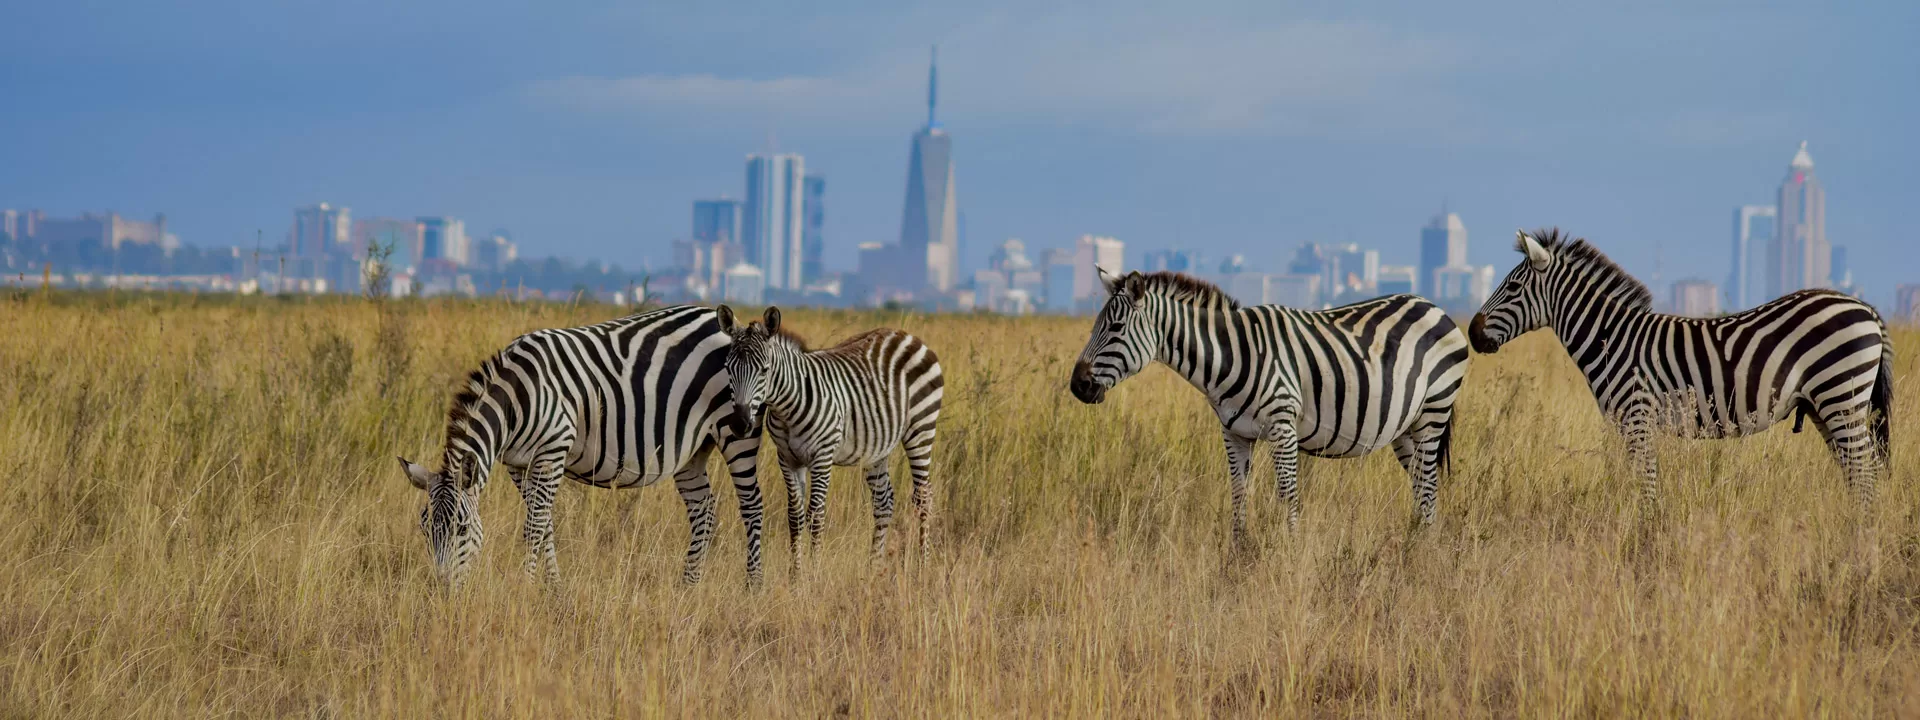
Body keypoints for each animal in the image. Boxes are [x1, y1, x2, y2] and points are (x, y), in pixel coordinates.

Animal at [397, 305, 764, 591]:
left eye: (461, 528)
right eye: (425, 529)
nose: (443, 589)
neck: (517, 400)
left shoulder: (552, 450)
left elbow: (534, 526)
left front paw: (527, 588)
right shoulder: (517, 464)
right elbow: (545, 526)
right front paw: (554, 588)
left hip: (736, 430)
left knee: (752, 504)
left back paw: (753, 586)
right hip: (692, 448)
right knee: (704, 509)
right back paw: (688, 585)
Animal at [721, 305, 944, 564]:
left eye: (764, 370)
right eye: (728, 369)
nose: (740, 424)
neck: (787, 407)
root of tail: (906, 335)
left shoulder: (822, 457)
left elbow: (816, 516)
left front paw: (814, 569)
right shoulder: (787, 458)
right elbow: (795, 517)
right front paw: (795, 572)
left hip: (921, 429)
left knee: (924, 497)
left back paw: (922, 564)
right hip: (877, 446)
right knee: (883, 502)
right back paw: (874, 566)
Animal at [1466, 231, 1889, 514]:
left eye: (1513, 287)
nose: (1472, 333)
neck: (1611, 338)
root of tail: (1866, 307)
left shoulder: (1637, 417)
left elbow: (1647, 484)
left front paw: (1647, 538)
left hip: (1841, 395)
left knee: (1866, 471)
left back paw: (1861, 536)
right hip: (1825, 406)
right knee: (1856, 471)